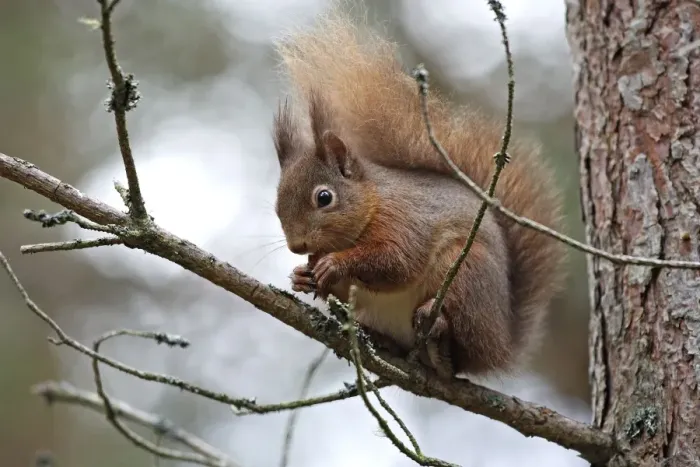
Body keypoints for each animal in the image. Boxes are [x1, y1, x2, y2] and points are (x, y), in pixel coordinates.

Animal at [270, 5, 567, 378]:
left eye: (324, 198)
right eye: (276, 207)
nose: (297, 247)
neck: (373, 203)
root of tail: (500, 344)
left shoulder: (405, 219)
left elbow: (396, 262)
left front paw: (334, 264)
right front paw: (302, 277)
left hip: (467, 273)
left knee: (458, 352)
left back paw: (438, 337)